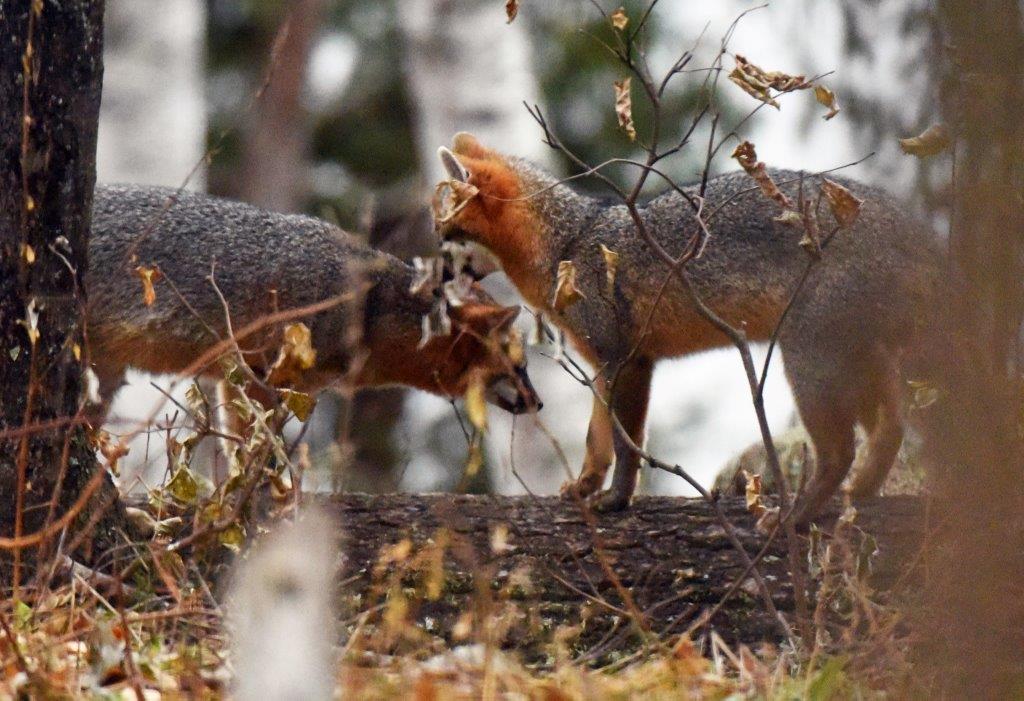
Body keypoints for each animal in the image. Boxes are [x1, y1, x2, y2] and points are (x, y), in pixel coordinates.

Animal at [433, 132, 940, 524]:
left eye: (444, 239)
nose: (433, 280)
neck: (569, 241)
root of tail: (909, 224)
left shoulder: (626, 362)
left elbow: (627, 446)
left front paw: (616, 501)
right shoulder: (604, 365)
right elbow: (597, 441)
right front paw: (584, 488)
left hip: (808, 363)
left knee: (840, 451)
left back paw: (796, 516)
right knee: (891, 429)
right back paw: (861, 494)